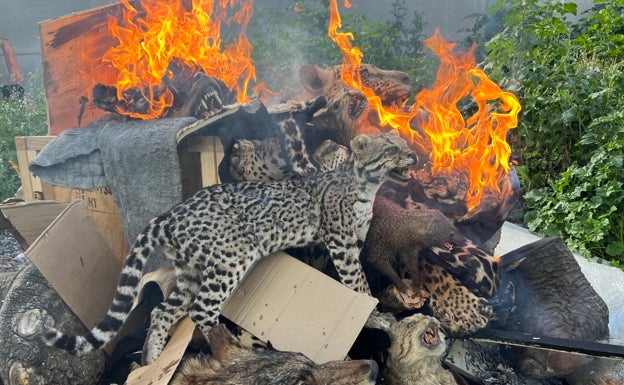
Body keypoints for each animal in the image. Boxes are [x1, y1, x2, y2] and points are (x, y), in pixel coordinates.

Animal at [42, 131, 414, 364]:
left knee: (163, 310)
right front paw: (376, 316)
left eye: (402, 144)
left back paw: (152, 359)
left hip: (191, 272)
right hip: (229, 262)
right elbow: (359, 285)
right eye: (391, 149)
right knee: (201, 311)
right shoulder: (342, 244)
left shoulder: (347, 244)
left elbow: (352, 283)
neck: (365, 184)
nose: (413, 154)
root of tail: (169, 214)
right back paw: (233, 351)